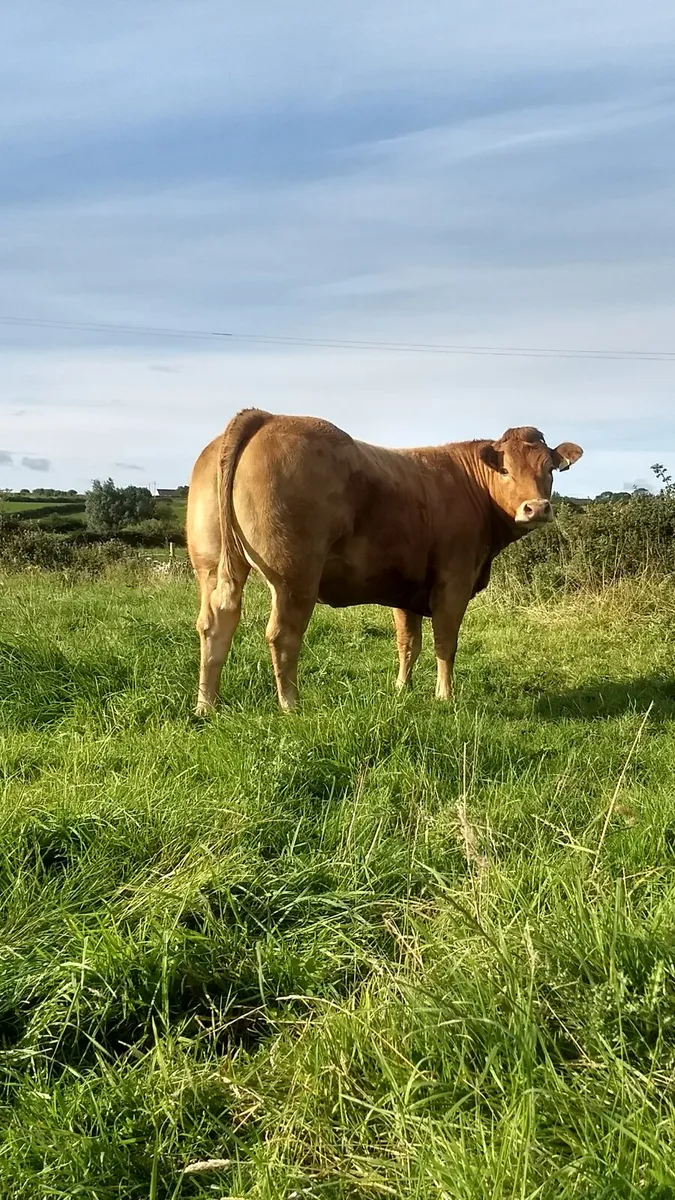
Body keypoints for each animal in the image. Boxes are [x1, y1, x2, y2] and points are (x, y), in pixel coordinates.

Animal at [186, 410, 582, 713]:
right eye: (505, 470)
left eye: (549, 469)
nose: (536, 508)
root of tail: (266, 416)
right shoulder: (453, 581)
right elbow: (445, 642)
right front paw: (445, 697)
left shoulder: (407, 587)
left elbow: (408, 642)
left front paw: (401, 689)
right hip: (294, 575)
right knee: (282, 635)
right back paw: (290, 705)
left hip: (212, 564)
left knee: (215, 624)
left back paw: (206, 705)